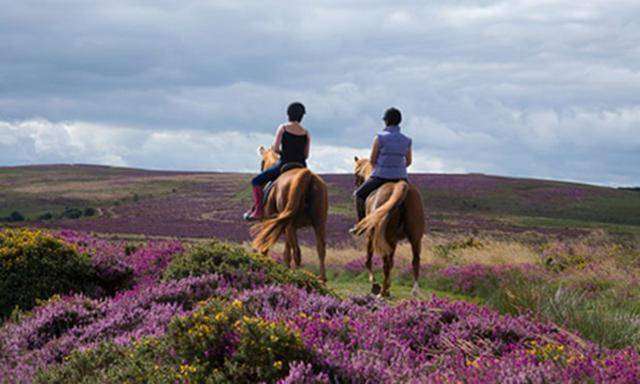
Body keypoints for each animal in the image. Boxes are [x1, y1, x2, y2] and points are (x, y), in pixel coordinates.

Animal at [251, 147, 330, 282]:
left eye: (262, 163)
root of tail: (307, 175)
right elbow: (286, 252)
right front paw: (286, 269)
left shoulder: (271, 224)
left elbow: (268, 247)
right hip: (319, 224)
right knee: (321, 250)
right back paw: (321, 279)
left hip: (290, 225)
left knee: (297, 251)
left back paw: (300, 275)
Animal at [350, 156, 424, 296]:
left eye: (356, 173)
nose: (356, 185)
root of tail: (399, 186)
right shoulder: (393, 241)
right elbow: (392, 262)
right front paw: (388, 287)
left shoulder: (371, 236)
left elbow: (368, 260)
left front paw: (375, 285)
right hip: (415, 237)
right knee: (415, 261)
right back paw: (414, 291)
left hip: (381, 236)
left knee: (385, 264)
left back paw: (382, 292)